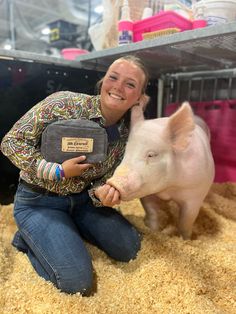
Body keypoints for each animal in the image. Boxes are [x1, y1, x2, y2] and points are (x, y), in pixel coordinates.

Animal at [108, 102, 215, 239]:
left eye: (151, 155)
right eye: (126, 150)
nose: (113, 182)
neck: (167, 189)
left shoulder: (195, 195)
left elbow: (185, 221)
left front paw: (186, 239)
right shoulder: (147, 192)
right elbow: (151, 211)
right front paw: (152, 229)